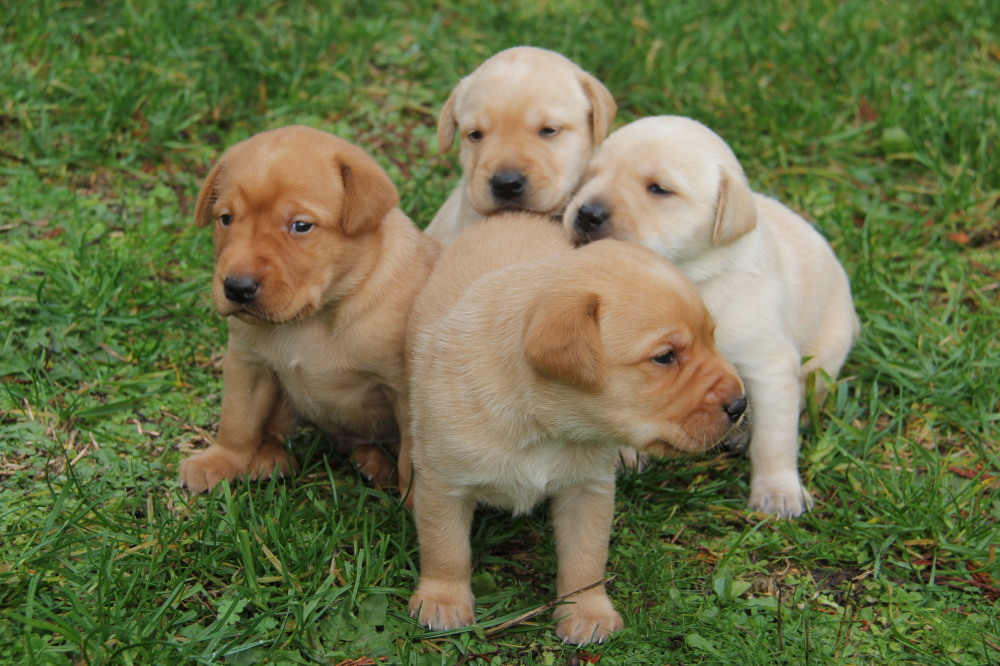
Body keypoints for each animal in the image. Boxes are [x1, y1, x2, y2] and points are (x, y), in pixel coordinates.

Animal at [404, 213, 744, 644]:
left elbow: (586, 558)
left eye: (712, 337)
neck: (544, 426)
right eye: (665, 357)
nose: (741, 405)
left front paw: (586, 610)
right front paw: (443, 600)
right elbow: (446, 548)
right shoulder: (443, 483)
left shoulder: (589, 489)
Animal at [564, 115, 860, 520]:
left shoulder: (769, 366)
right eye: (590, 175)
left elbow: (775, 437)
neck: (693, 275)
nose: (586, 213)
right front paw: (623, 453)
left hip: (824, 359)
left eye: (659, 189)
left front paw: (778, 491)